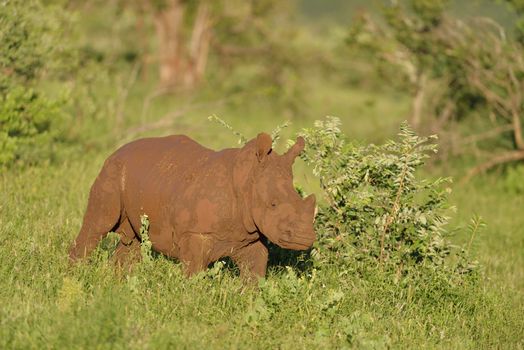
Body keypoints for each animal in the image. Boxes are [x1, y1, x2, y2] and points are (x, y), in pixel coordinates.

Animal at [69, 133, 316, 278]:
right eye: (273, 204)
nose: (304, 237)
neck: (247, 179)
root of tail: (117, 150)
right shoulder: (194, 233)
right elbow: (194, 269)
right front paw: (191, 298)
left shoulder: (248, 235)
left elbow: (255, 267)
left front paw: (249, 300)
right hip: (112, 170)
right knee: (98, 226)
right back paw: (75, 273)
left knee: (134, 239)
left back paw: (120, 282)